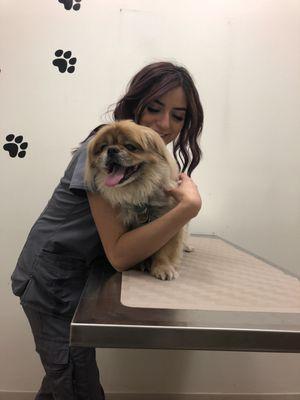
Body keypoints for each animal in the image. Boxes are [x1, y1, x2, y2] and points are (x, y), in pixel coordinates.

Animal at [84, 120, 185, 280]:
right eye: (103, 147)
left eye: (130, 147)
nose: (111, 150)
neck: (138, 192)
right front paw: (141, 264)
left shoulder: (170, 223)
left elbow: (164, 251)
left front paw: (163, 267)